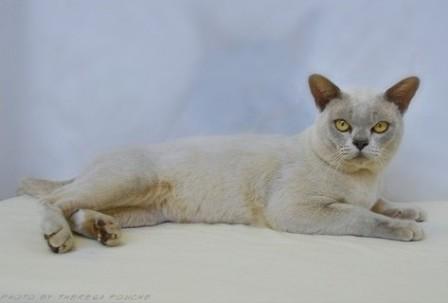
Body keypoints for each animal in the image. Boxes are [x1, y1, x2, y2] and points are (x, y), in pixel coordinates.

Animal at [17, 74, 426, 254]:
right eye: (342, 125)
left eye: (380, 127)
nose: (360, 143)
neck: (364, 179)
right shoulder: (297, 209)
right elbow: (363, 216)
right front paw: (408, 229)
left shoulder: (370, 194)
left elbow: (380, 205)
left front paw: (413, 212)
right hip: (128, 181)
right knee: (55, 201)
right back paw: (57, 238)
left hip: (143, 211)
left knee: (77, 208)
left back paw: (105, 231)